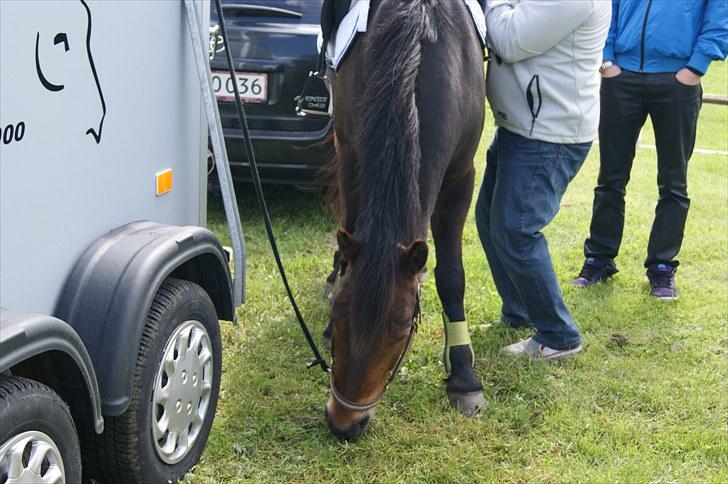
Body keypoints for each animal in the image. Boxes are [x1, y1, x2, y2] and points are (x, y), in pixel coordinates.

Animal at [323, 0, 486, 441]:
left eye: (399, 332)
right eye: (338, 316)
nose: (344, 422)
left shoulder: (461, 176)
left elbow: (452, 277)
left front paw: (463, 375)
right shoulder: (352, 153)